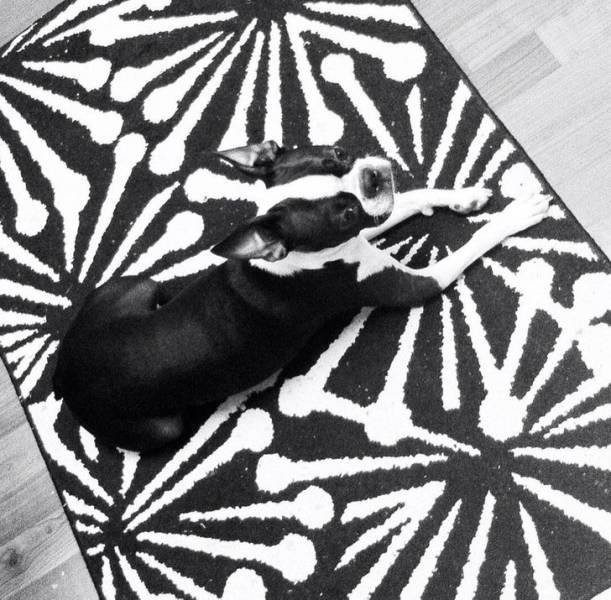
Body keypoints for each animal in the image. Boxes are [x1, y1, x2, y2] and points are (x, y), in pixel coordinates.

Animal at [53, 141, 549, 452]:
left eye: (339, 154)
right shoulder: (405, 280)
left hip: (132, 282)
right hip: (162, 429)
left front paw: (463, 196)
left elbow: (411, 198)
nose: (374, 176)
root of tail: (63, 376)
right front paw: (517, 214)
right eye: (343, 213)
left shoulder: (365, 233)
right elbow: (469, 245)